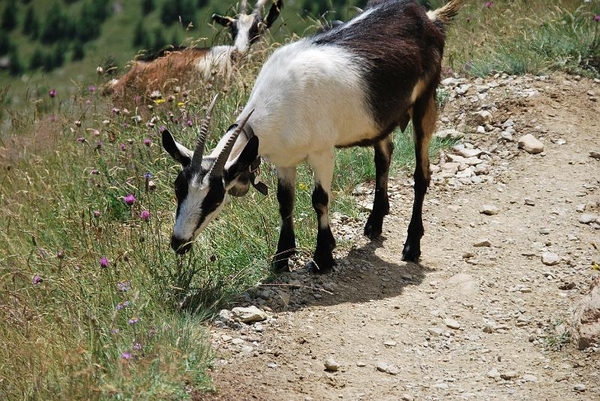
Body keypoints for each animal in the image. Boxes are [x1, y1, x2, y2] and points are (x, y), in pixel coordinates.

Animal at [161, 0, 464, 272]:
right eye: (178, 189)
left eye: (214, 198)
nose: (178, 243)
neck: (281, 99)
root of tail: (427, 17)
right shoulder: (284, 159)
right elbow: (285, 202)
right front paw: (282, 258)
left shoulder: (323, 152)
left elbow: (319, 200)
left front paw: (323, 257)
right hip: (379, 117)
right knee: (384, 156)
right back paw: (374, 223)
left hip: (425, 99)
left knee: (421, 173)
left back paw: (412, 246)